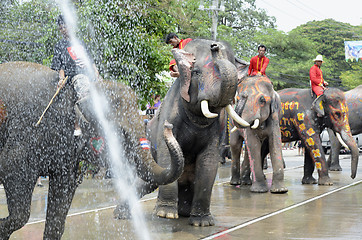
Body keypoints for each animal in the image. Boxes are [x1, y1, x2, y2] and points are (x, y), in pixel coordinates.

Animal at [0, 61, 184, 239]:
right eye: (120, 132)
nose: (168, 126)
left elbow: (62, 194)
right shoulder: (26, 133)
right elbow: (13, 173)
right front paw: (2, 228)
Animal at [143, 39, 250, 227]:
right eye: (196, 72)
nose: (215, 46)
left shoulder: (217, 129)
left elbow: (209, 161)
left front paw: (202, 223)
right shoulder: (170, 112)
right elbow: (166, 152)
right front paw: (165, 214)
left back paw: (184, 213)